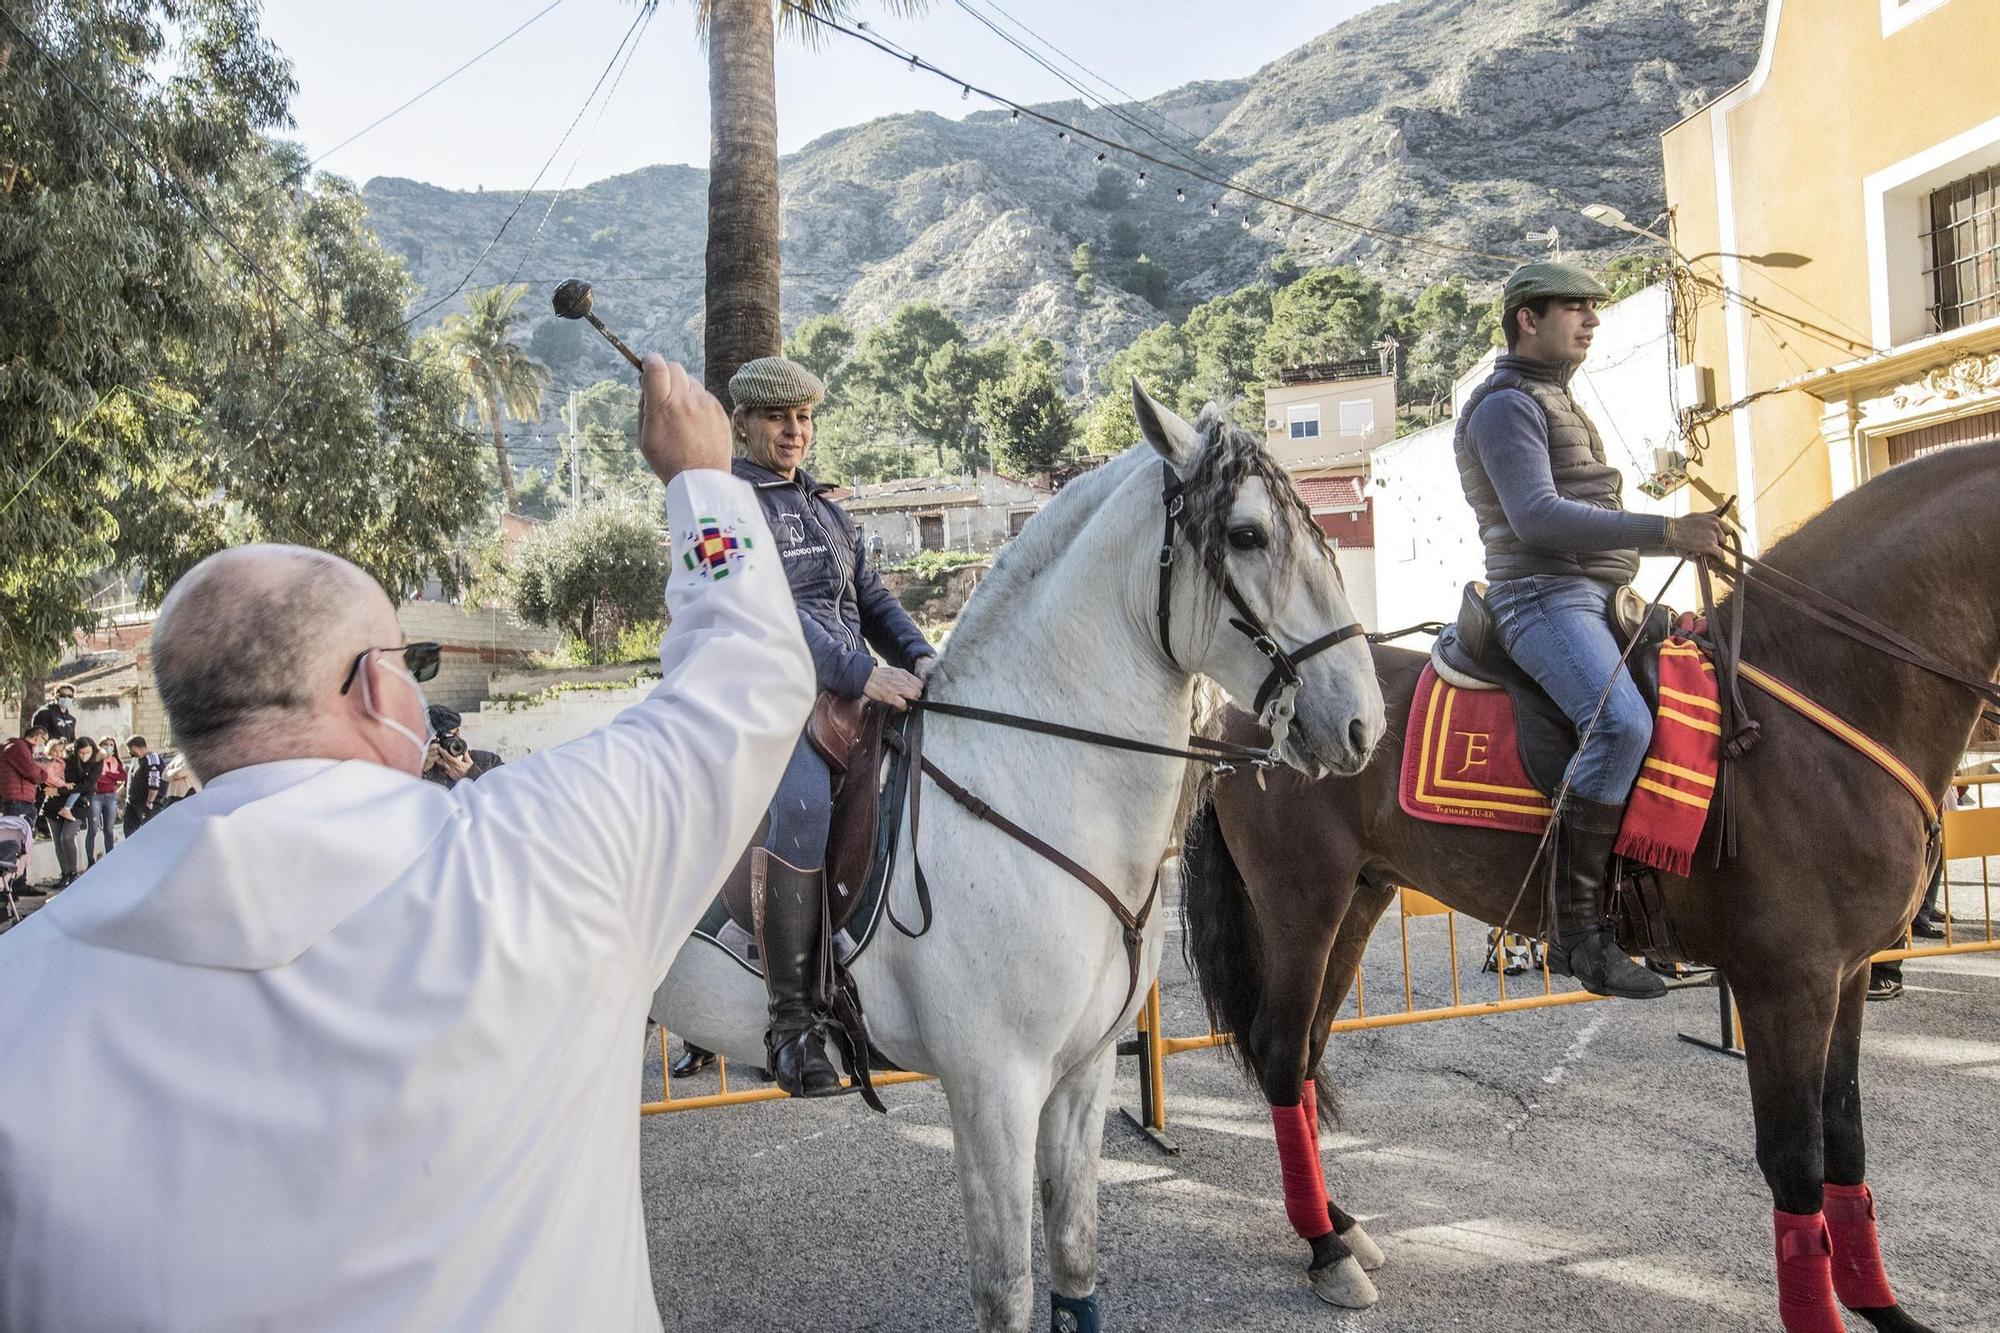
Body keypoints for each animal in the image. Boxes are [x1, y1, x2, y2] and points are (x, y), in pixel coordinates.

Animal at [648, 378, 1384, 1320]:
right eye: (1249, 534)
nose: (1364, 721)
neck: (1037, 775)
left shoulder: (1081, 1074)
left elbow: (1074, 1257)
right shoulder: (992, 1090)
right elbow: (1008, 1287)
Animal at [1176, 440, 1992, 1328]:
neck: (1816, 700)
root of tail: (1238, 713)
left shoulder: (1844, 976)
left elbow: (1845, 1139)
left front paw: (1882, 1305)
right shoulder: (1788, 983)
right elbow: (1796, 1161)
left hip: (1358, 898)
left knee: (1308, 1052)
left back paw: (1338, 1220)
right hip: (1302, 903)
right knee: (1282, 1049)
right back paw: (1325, 1245)